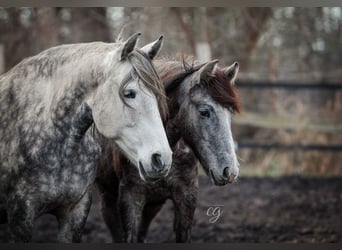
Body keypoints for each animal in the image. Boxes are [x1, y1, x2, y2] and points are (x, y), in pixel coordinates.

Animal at [95, 57, 242, 242]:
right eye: (204, 111)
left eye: (230, 113)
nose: (229, 171)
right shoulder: (130, 198)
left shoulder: (187, 197)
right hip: (107, 198)